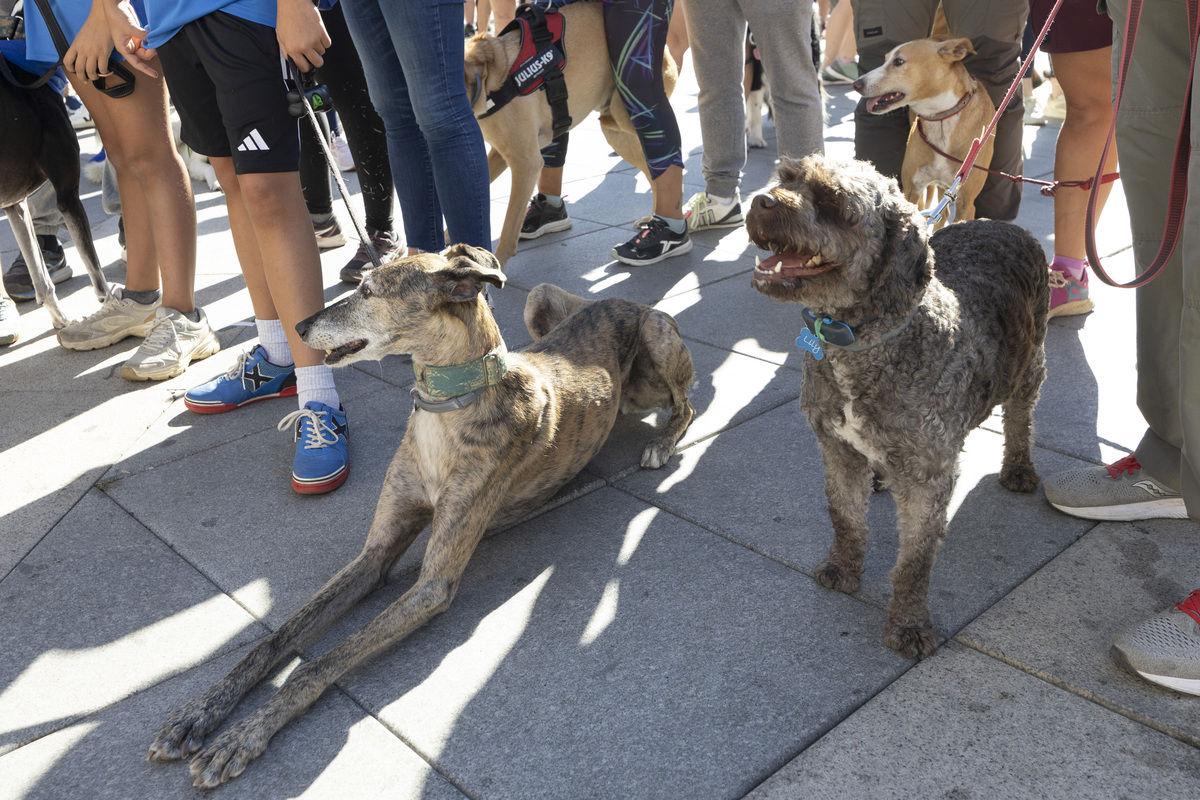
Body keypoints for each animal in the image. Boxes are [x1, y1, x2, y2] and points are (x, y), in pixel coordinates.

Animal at [146, 244, 700, 786]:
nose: (299, 327)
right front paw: (200, 711)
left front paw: (244, 735)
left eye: (368, 291)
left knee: (688, 404)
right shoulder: (375, 553)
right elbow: (277, 638)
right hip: (540, 300)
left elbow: (317, 663)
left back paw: (662, 442)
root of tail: (622, 300)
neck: (448, 406)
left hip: (657, 342)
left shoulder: (432, 584)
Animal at [748, 154, 1051, 657]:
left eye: (832, 201)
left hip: (1030, 362)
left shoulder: (928, 477)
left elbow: (915, 560)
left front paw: (909, 623)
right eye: (787, 177)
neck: (861, 342)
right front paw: (843, 568)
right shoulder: (837, 450)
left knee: (1020, 418)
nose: (760, 200)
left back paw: (1019, 467)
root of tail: (1000, 224)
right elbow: (845, 517)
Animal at [854, 36, 993, 225]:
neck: (940, 119)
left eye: (899, 61)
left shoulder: (966, 202)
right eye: (885, 60)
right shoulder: (911, 190)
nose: (856, 84)